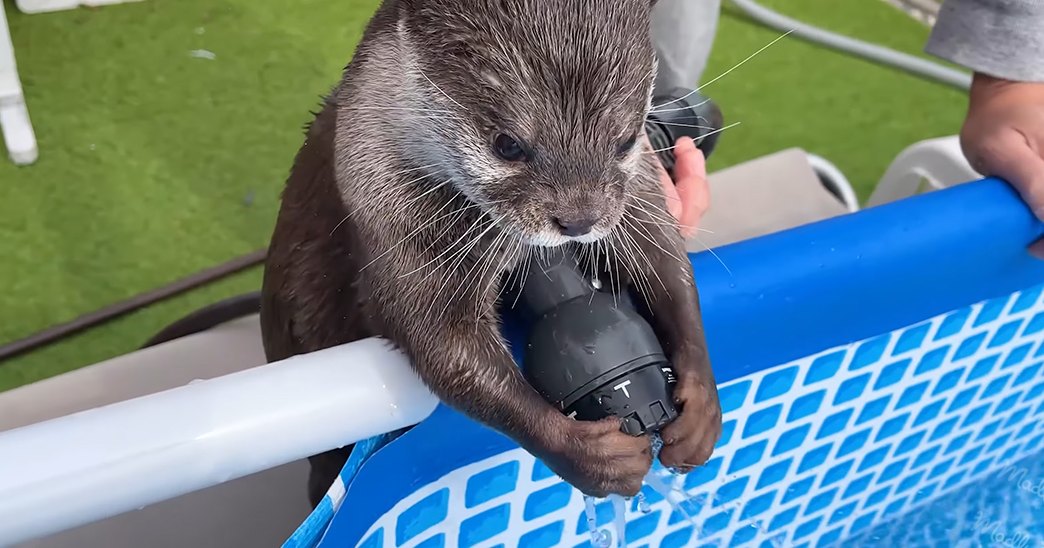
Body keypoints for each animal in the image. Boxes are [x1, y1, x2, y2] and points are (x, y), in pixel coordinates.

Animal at [259, 0, 722, 506]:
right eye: (507, 144)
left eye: (625, 139)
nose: (578, 221)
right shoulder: (387, 209)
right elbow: (441, 344)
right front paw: (589, 456)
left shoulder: (638, 194)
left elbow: (667, 264)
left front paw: (702, 405)